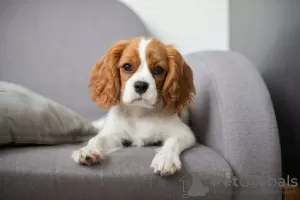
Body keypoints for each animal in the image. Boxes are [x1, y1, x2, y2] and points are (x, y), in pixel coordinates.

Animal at [72, 36, 197, 176]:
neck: (139, 112)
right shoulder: (113, 133)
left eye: (158, 69)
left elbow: (173, 142)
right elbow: (98, 139)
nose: (141, 85)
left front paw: (165, 159)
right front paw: (88, 150)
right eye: (127, 67)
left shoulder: (185, 133)